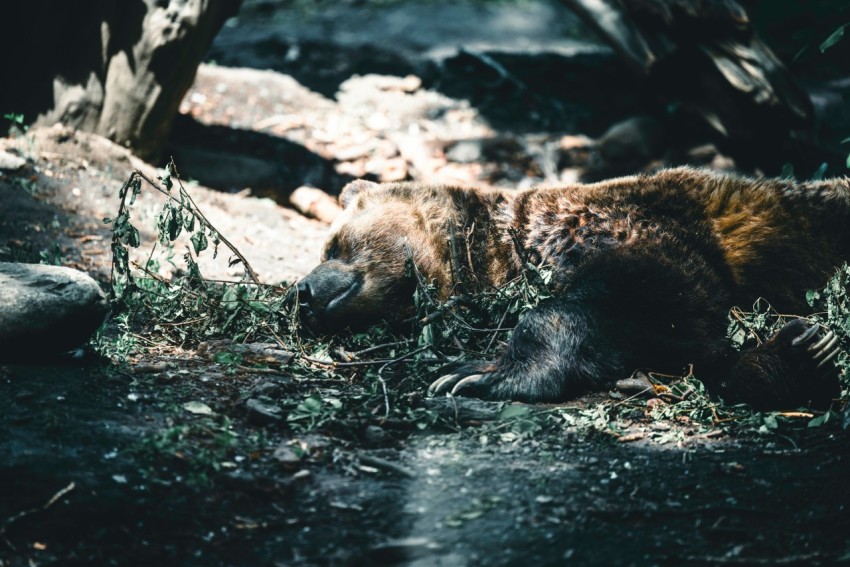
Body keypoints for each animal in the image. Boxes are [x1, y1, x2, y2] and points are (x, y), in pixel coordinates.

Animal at [294, 166, 844, 410]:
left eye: (333, 245)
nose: (300, 294)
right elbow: (686, 344)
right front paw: (791, 359)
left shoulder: (639, 228)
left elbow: (653, 297)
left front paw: (475, 374)